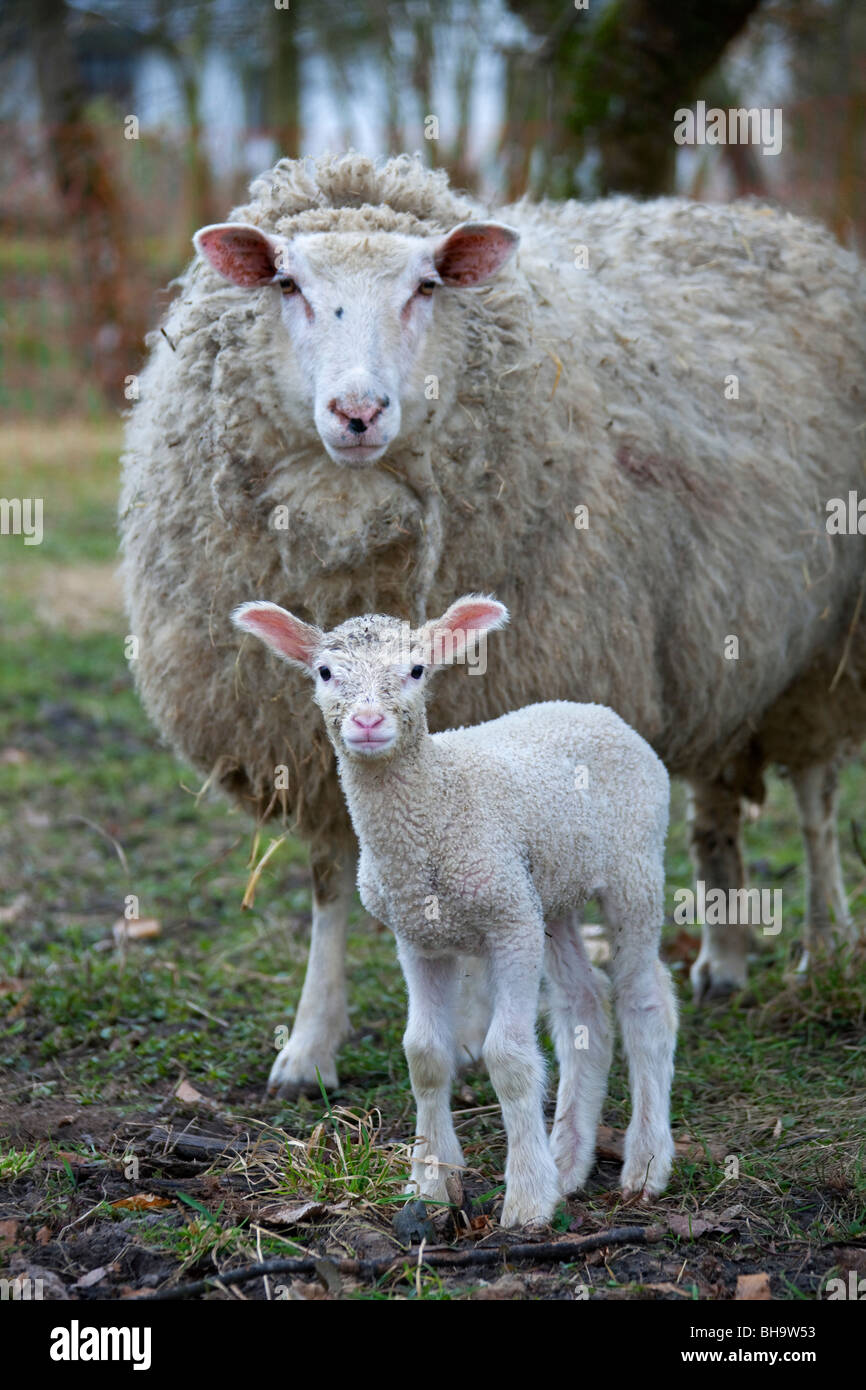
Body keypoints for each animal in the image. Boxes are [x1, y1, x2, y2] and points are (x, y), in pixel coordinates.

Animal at [120, 149, 866, 1084]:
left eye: (427, 285)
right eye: (287, 283)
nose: (357, 412)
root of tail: (766, 218)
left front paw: (473, 1030)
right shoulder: (308, 738)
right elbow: (330, 884)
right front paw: (310, 1045)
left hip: (826, 648)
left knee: (816, 802)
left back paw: (825, 944)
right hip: (717, 642)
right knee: (719, 802)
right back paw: (724, 960)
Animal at [233, 589, 681, 1228]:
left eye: (417, 670)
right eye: (324, 673)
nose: (367, 723)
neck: (439, 796)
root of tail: (597, 710)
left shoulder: (508, 921)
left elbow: (508, 1057)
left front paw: (527, 1200)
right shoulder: (419, 937)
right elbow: (423, 1054)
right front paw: (431, 1182)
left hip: (633, 868)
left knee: (645, 1001)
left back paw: (644, 1166)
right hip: (550, 893)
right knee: (585, 1002)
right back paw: (569, 1160)